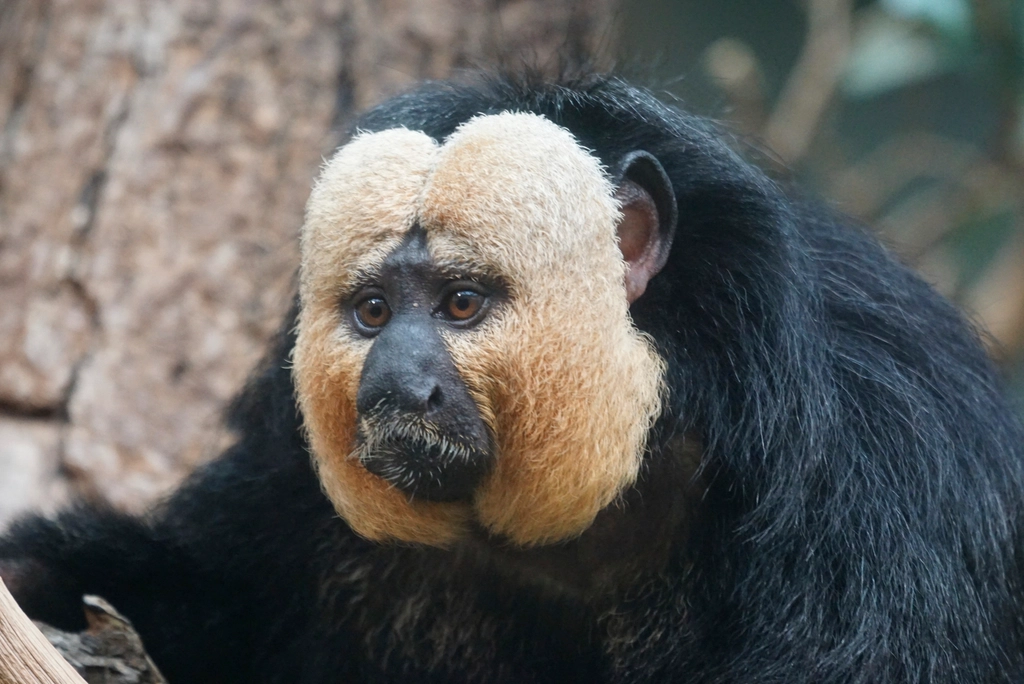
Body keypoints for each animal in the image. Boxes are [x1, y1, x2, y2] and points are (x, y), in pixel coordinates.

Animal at [2, 71, 1024, 684]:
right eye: (373, 312)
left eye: (461, 304)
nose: (395, 388)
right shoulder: (288, 480)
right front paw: (39, 582)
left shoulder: (880, 484)